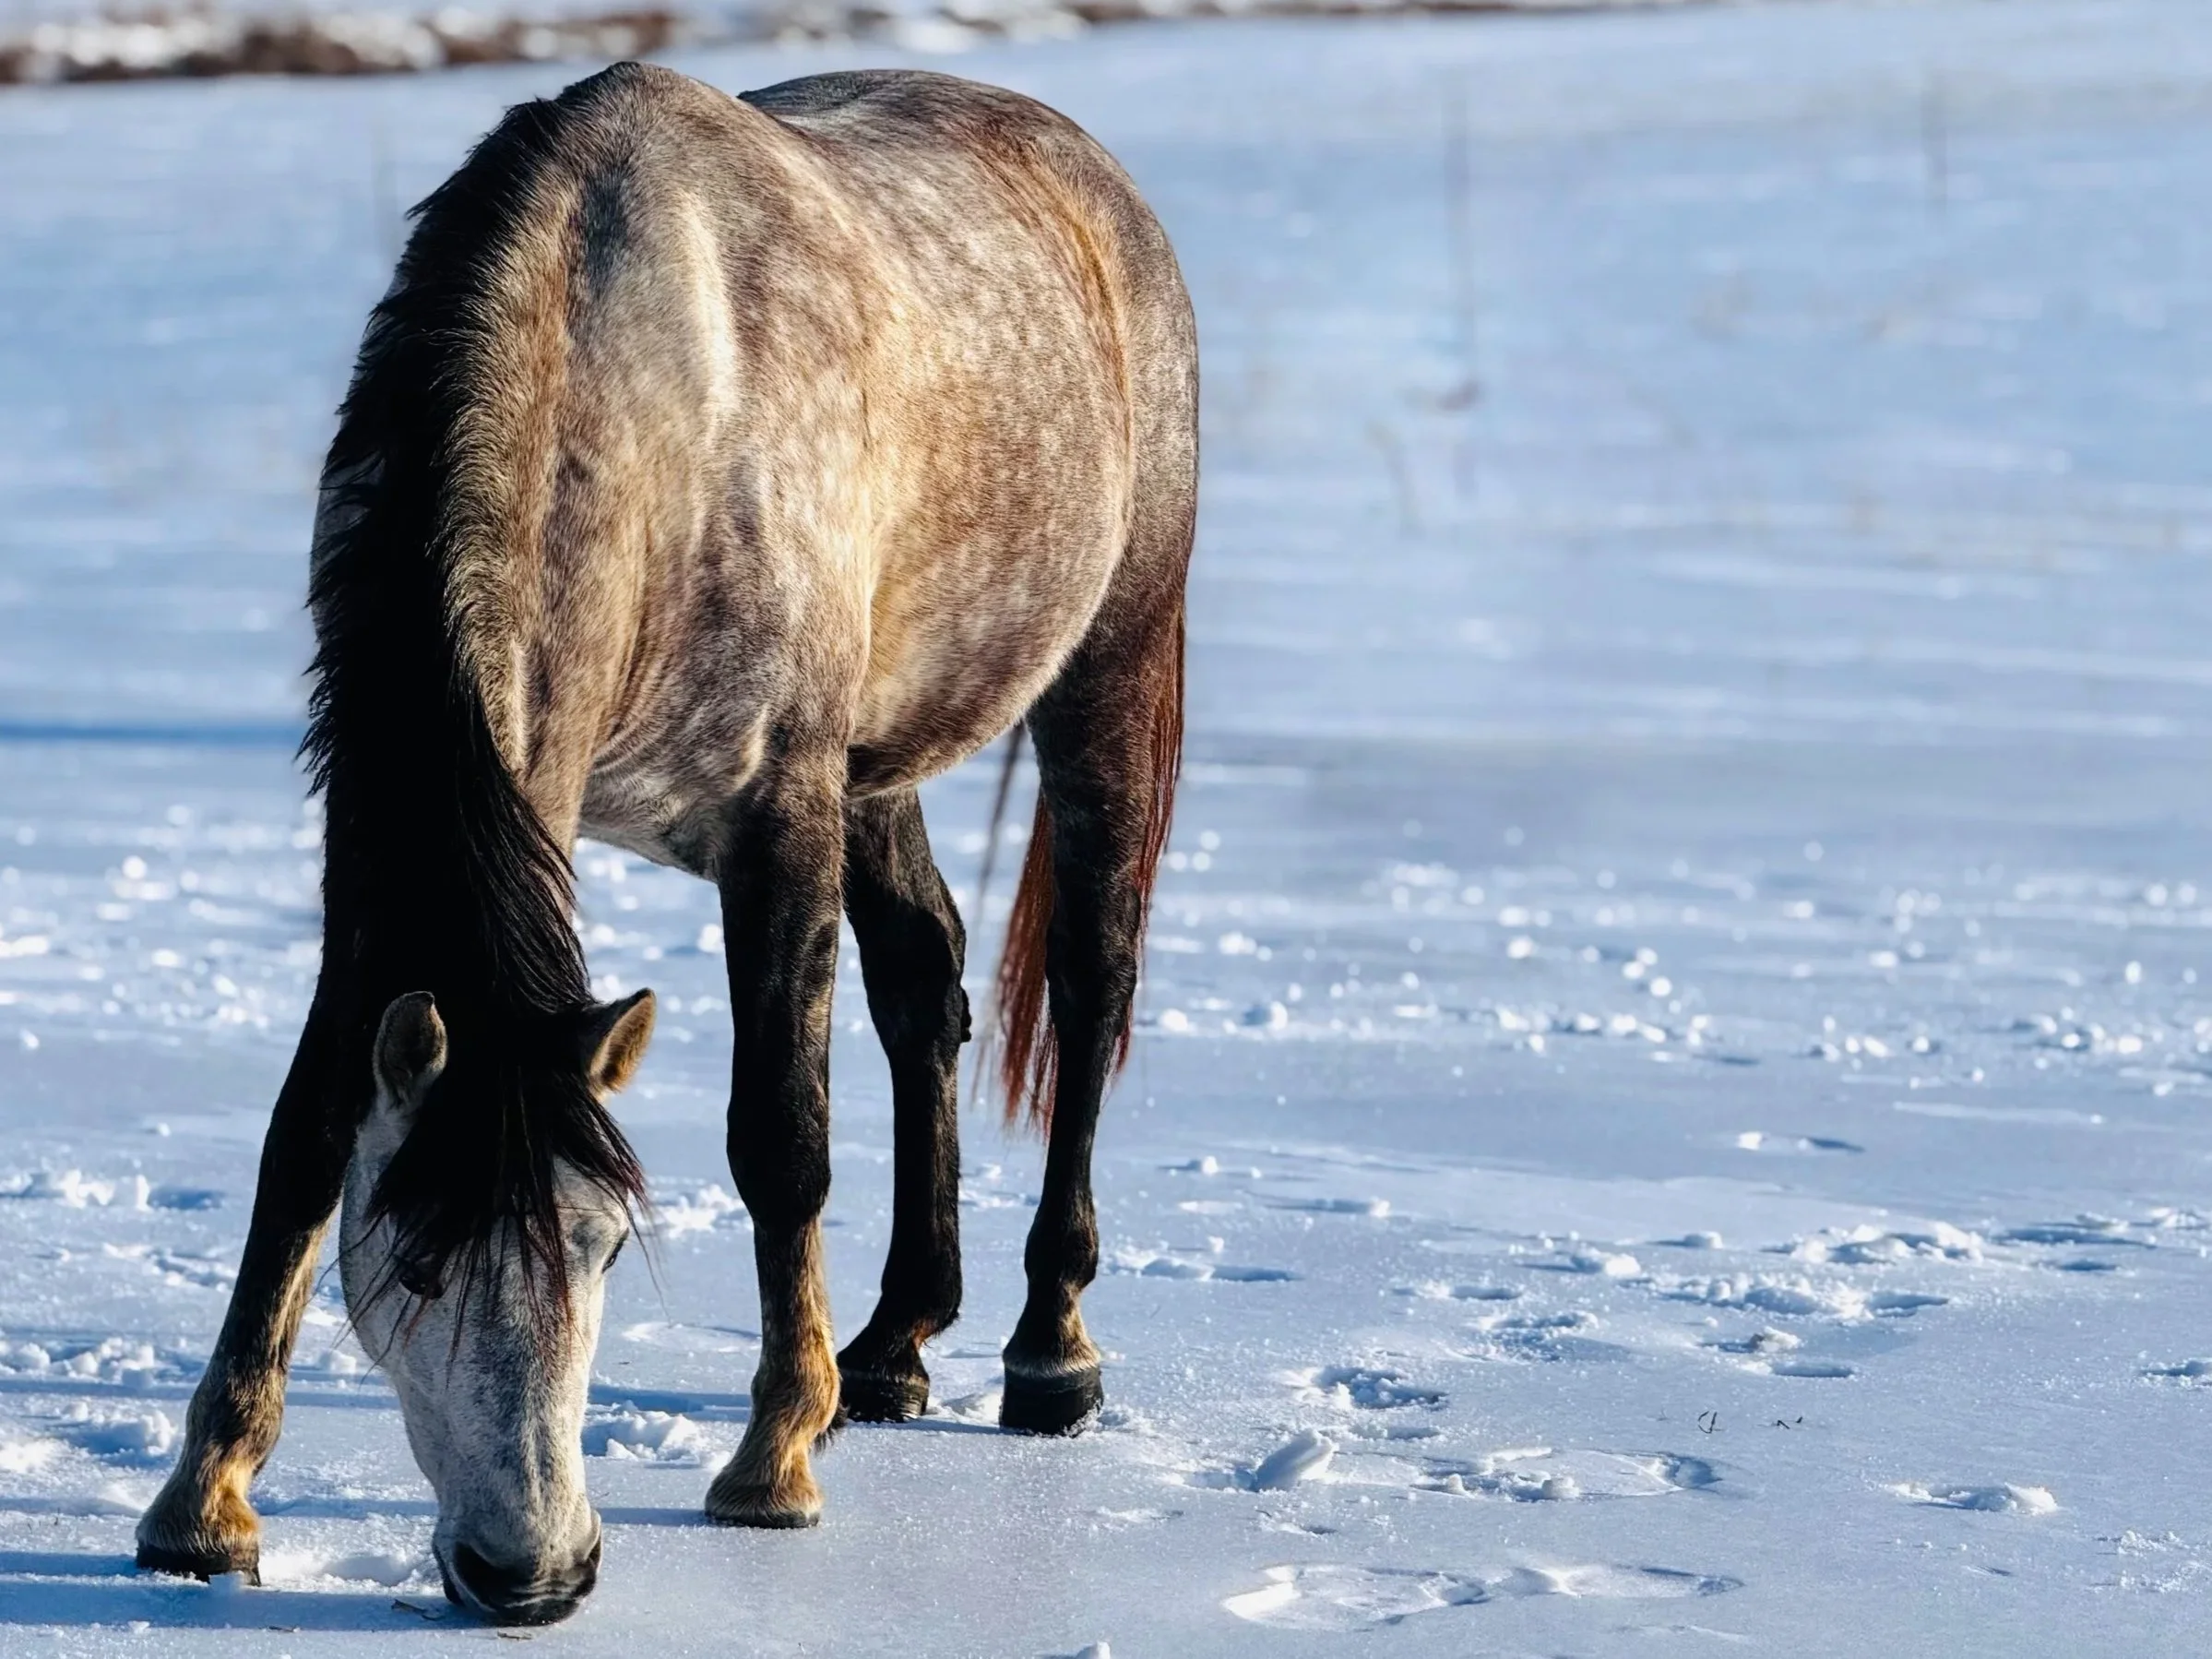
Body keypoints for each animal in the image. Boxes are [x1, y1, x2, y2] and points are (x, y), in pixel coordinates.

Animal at [130, 61, 1195, 1625]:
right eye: (408, 1262)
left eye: (602, 1242)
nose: (531, 1573)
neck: (639, 409)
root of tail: (1086, 170)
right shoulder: (374, 867)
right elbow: (302, 1142)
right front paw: (200, 1505)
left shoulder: (774, 814)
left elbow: (780, 1139)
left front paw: (773, 1460)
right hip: (877, 763)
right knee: (922, 984)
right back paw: (894, 1342)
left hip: (1105, 670)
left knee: (1086, 981)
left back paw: (1046, 1348)